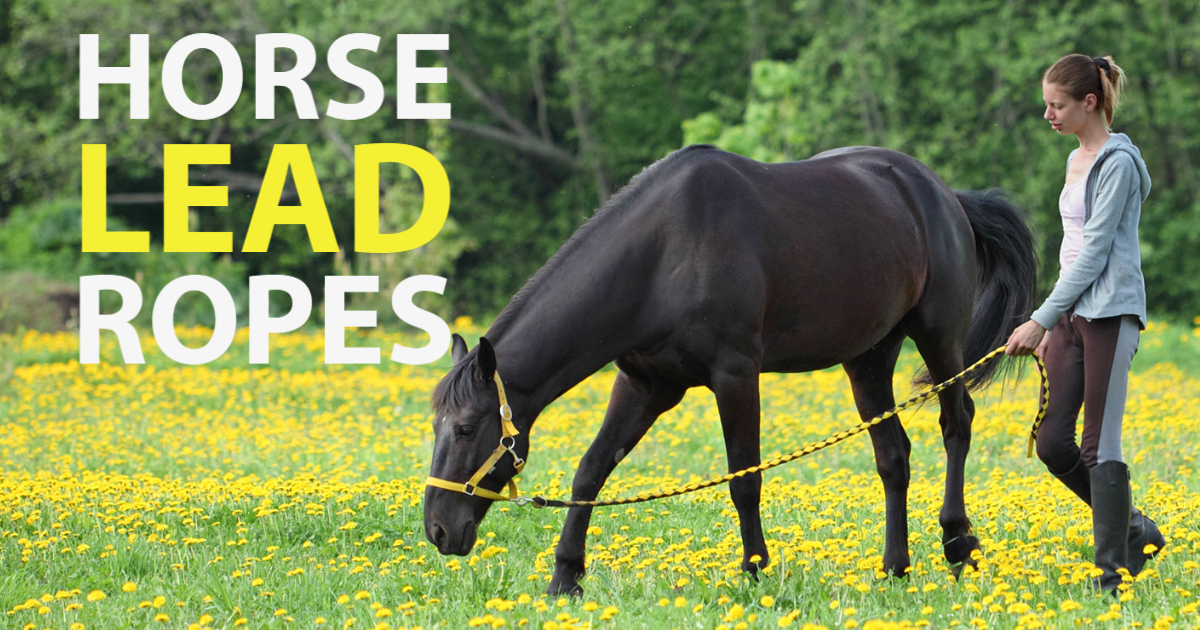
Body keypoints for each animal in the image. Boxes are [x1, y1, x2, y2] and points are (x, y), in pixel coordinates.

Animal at [424, 144, 1036, 596]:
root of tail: (944, 195)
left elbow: (745, 478)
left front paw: (755, 570)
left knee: (956, 424)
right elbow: (590, 471)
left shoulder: (736, 375)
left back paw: (958, 546)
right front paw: (565, 577)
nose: (437, 529)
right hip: (868, 359)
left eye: (465, 428)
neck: (666, 253)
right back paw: (894, 567)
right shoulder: (646, 383)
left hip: (938, 337)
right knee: (893, 457)